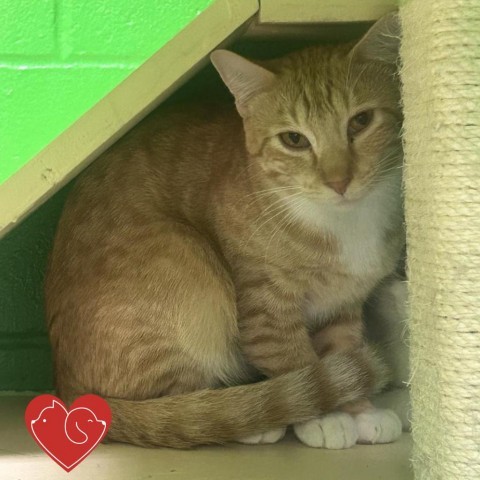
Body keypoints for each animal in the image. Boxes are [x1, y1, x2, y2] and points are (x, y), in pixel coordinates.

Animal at [45, 15, 404, 450]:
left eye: (360, 121)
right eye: (294, 139)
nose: (339, 181)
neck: (344, 223)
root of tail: (68, 390)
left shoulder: (343, 305)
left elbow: (343, 350)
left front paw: (361, 411)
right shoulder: (265, 305)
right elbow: (293, 358)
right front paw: (328, 416)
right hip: (188, 266)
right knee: (182, 409)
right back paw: (250, 417)